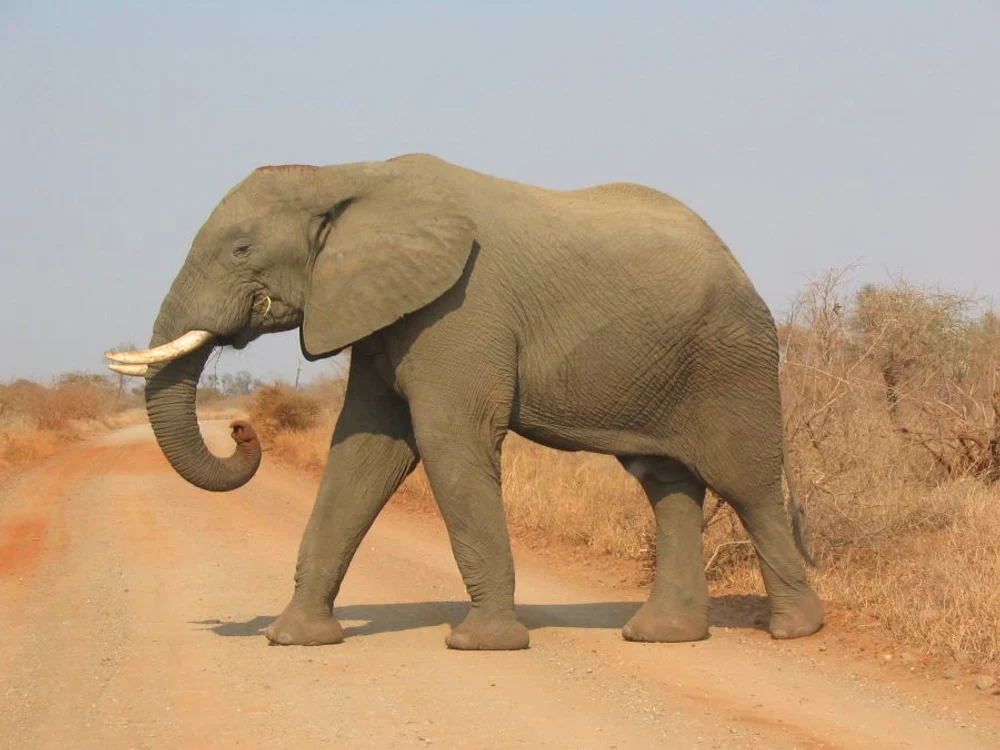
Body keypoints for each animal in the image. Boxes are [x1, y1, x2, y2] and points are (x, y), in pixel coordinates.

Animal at [106, 153, 824, 650]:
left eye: (242, 248)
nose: (240, 430)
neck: (346, 173)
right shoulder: (382, 313)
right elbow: (364, 452)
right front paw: (293, 639)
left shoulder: (460, 309)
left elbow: (448, 440)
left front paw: (481, 644)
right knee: (666, 482)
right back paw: (662, 636)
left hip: (732, 354)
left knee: (748, 481)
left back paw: (795, 631)